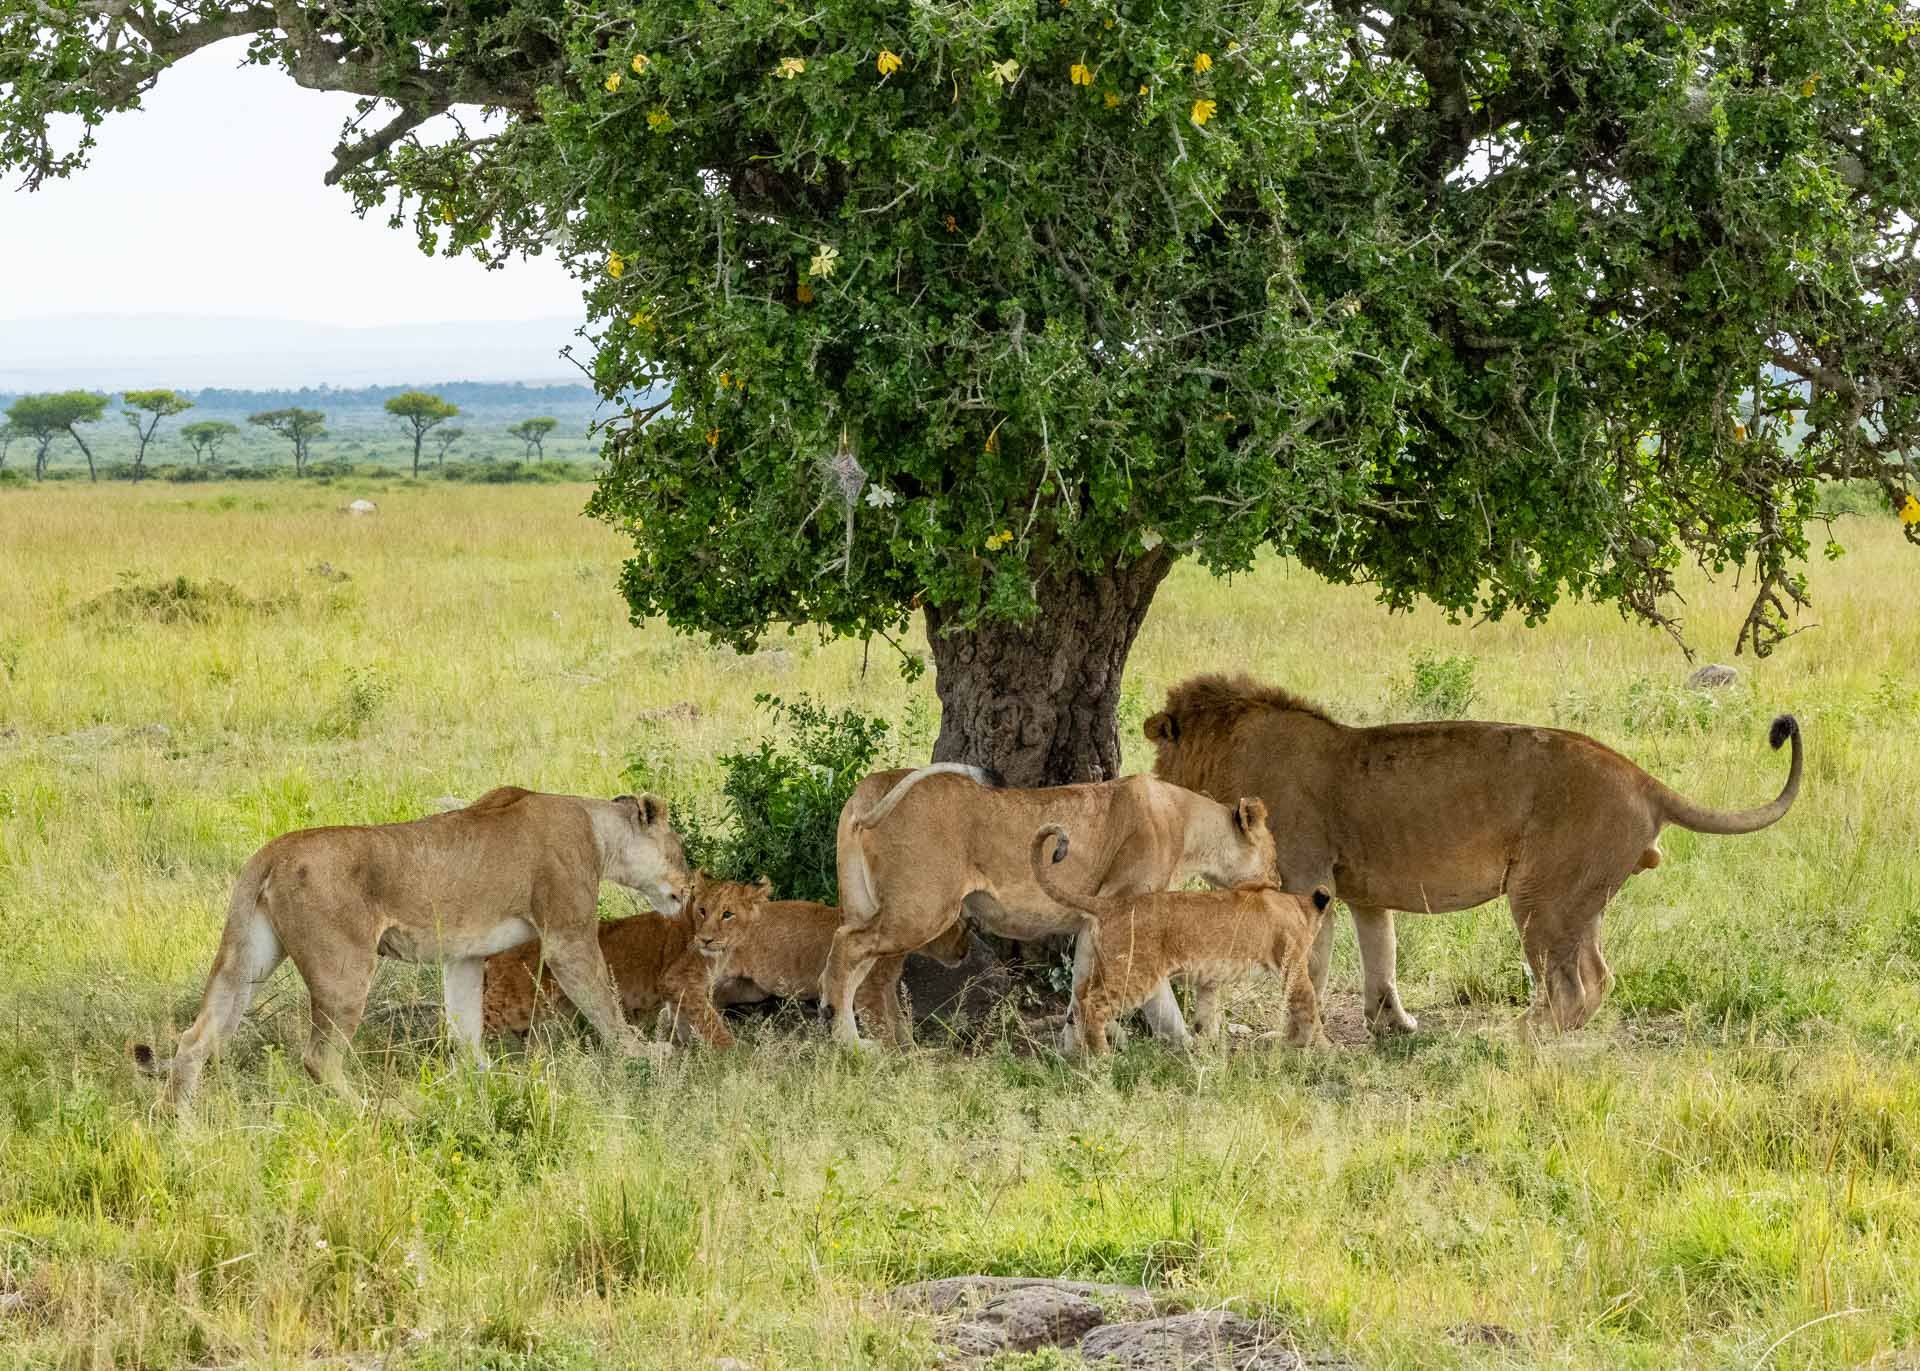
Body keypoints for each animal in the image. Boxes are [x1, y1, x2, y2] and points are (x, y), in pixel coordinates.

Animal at [1144, 672, 1804, 1036]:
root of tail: (1643, 779)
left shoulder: (1307, 880)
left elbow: (1309, 967)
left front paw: (1294, 1039)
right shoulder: (1360, 891)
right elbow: (1381, 957)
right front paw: (1393, 1025)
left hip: (1541, 894)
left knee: (1577, 984)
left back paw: (1521, 1035)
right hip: (1581, 899)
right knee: (1599, 976)